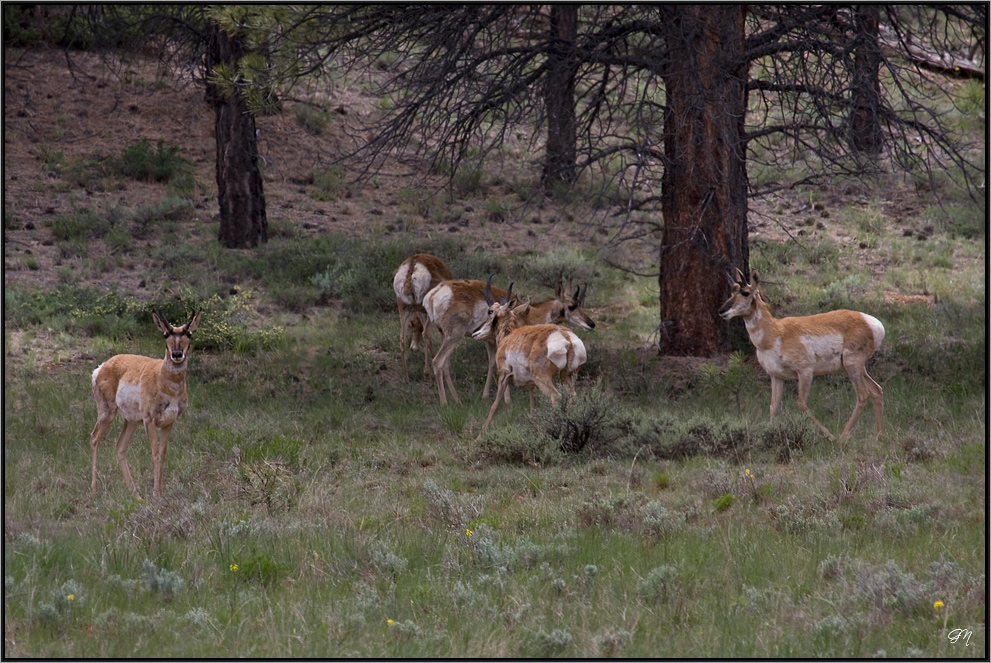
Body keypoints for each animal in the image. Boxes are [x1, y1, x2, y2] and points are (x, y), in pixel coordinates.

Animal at [91, 312, 202, 498]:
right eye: (165, 334)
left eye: (189, 334)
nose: (177, 354)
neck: (162, 379)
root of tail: (101, 367)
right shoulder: (149, 420)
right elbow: (155, 453)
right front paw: (156, 494)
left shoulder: (169, 423)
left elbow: (163, 454)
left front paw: (160, 492)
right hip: (108, 412)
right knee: (94, 438)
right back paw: (94, 487)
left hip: (131, 421)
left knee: (120, 447)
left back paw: (135, 493)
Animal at [420, 274, 592, 404]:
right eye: (572, 306)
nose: (592, 323)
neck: (529, 312)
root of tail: (434, 294)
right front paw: (507, 400)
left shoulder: (490, 342)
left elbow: (491, 364)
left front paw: (486, 396)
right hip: (454, 336)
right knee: (438, 361)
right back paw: (444, 402)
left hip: (445, 335)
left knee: (444, 364)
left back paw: (457, 400)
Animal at [472, 294, 588, 436]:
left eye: (490, 311)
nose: (475, 332)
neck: (508, 335)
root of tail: (566, 337)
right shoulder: (531, 385)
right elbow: (532, 404)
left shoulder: (503, 376)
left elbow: (494, 406)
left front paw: (479, 436)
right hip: (566, 376)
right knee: (572, 398)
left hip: (543, 380)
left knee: (556, 398)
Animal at [716, 270, 888, 440]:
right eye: (732, 291)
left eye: (745, 292)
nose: (721, 310)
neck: (776, 333)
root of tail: (873, 323)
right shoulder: (776, 376)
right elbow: (774, 407)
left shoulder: (805, 371)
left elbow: (801, 403)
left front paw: (829, 436)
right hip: (850, 367)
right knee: (876, 390)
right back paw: (879, 436)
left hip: (852, 365)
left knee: (863, 395)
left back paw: (842, 437)